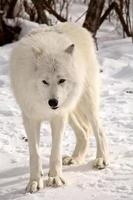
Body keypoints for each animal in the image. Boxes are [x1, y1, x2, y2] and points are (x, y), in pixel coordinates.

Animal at [9, 22, 109, 193]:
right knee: (84, 131)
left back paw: (101, 159)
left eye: (61, 80)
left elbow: (55, 152)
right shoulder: (30, 117)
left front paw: (55, 178)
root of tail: (78, 27)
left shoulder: (58, 117)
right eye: (45, 81)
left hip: (85, 102)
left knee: (99, 130)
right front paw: (35, 181)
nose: (53, 102)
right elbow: (35, 154)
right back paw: (75, 158)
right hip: (69, 110)